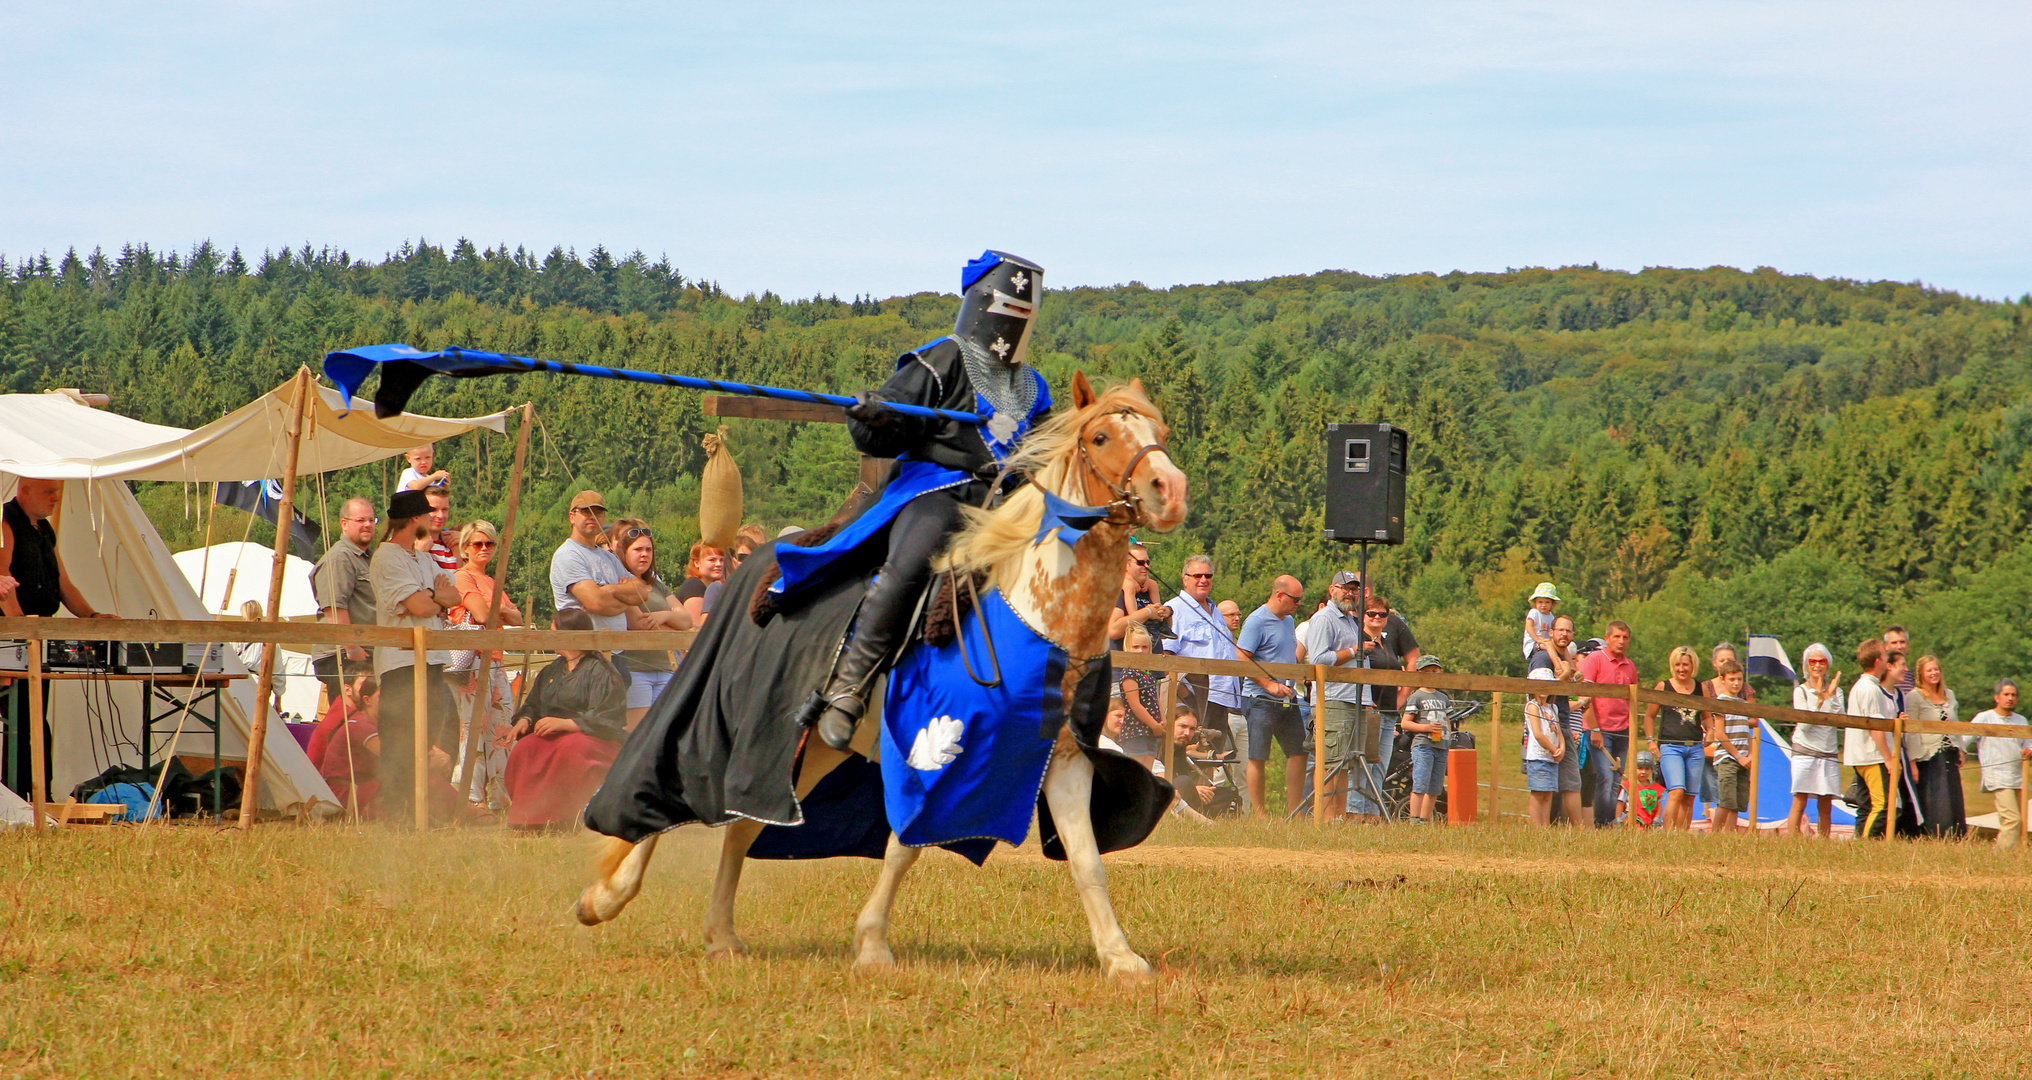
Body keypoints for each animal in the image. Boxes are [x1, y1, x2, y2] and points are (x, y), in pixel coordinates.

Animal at [568, 376, 1186, 984]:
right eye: (1101, 437)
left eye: (1159, 433)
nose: (1170, 489)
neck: (1033, 611)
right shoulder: (932, 749)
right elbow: (904, 847)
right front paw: (872, 945)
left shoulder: (1063, 757)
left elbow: (1085, 859)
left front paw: (1120, 958)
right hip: (736, 720)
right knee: (677, 783)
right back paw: (605, 898)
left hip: (807, 750)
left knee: (743, 822)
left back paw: (720, 935)